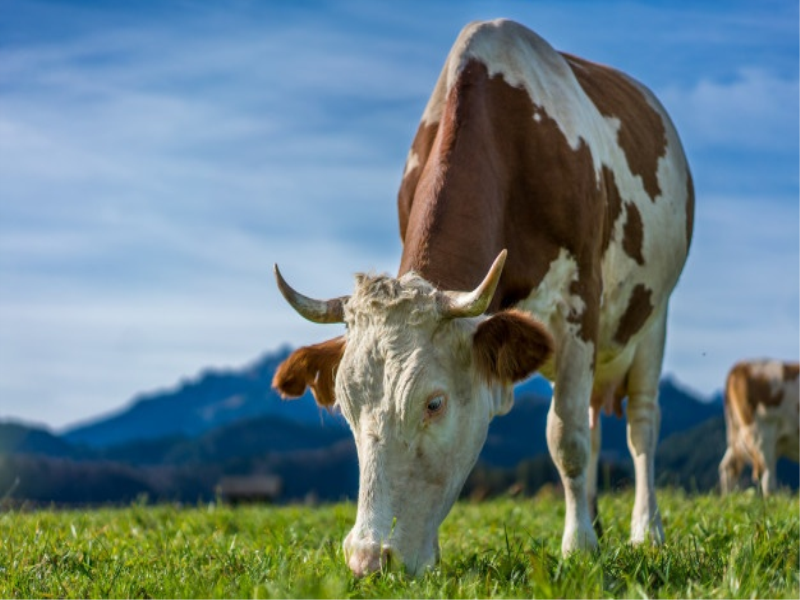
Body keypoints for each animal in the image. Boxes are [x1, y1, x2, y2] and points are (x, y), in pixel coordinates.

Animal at [270, 16, 692, 576]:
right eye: (346, 405)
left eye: (434, 404)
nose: (368, 559)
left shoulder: (580, 306)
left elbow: (566, 439)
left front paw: (578, 547)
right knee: (596, 421)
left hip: (652, 318)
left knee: (641, 425)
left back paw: (647, 531)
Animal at [720, 358, 800, 494]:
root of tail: (740, 366)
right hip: (762, 434)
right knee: (767, 477)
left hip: (740, 435)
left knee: (728, 466)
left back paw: (727, 498)